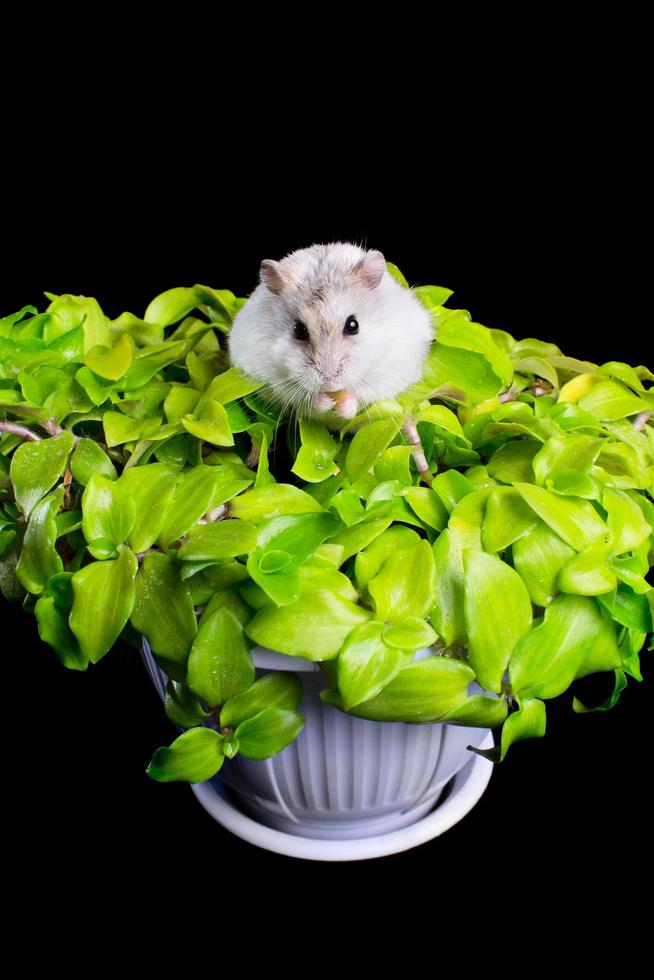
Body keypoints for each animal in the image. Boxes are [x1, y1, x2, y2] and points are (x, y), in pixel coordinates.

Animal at [228, 242, 438, 424]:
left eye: (353, 325)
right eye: (298, 330)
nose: (329, 379)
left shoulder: (392, 368)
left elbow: (359, 396)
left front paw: (344, 405)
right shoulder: (272, 378)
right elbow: (304, 398)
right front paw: (325, 401)